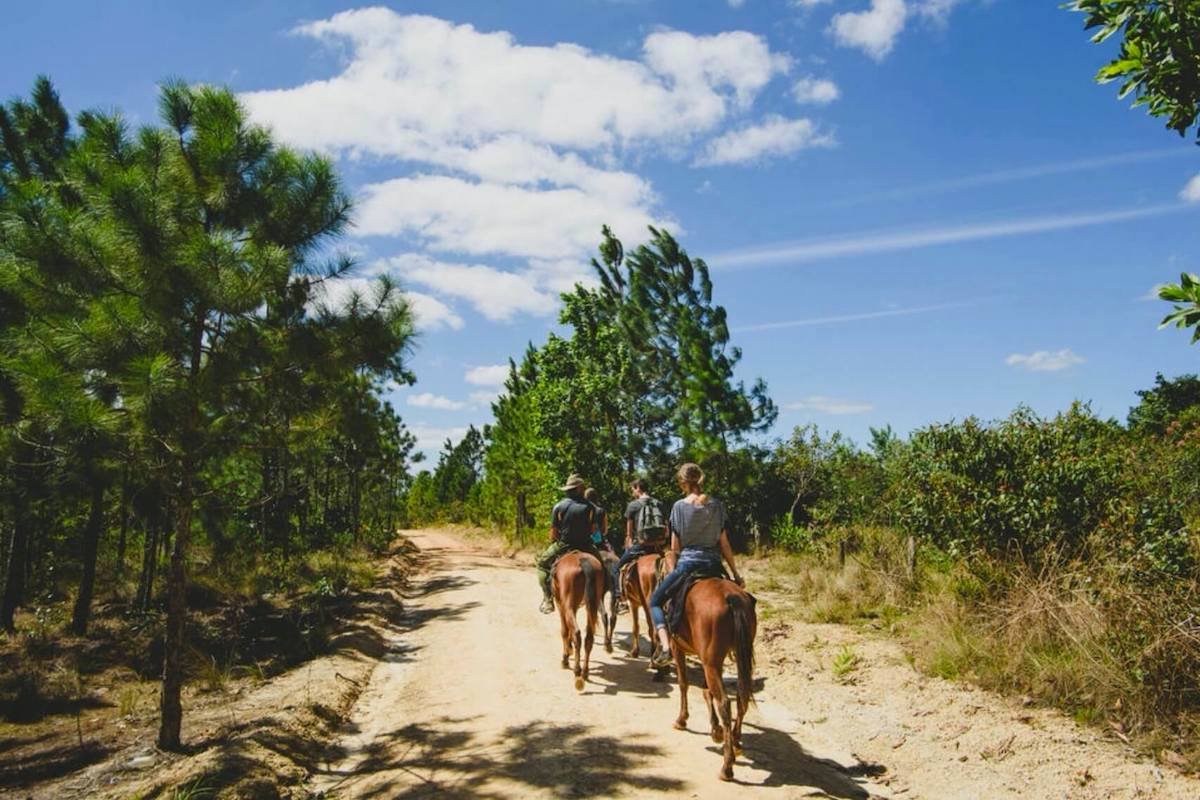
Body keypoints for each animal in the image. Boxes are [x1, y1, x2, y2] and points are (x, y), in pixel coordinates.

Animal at [552, 554, 609, 690]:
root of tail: (583, 561)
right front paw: (569, 649)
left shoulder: (561, 605)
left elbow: (564, 631)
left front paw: (565, 657)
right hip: (592, 606)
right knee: (589, 638)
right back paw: (585, 672)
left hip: (568, 606)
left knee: (577, 634)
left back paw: (577, 672)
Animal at [672, 578, 753, 786]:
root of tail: (731, 598)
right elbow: (706, 690)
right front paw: (716, 730)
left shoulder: (677, 647)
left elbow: (683, 683)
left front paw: (682, 719)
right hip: (735, 657)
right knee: (742, 697)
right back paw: (735, 742)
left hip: (711, 662)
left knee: (725, 702)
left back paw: (727, 767)